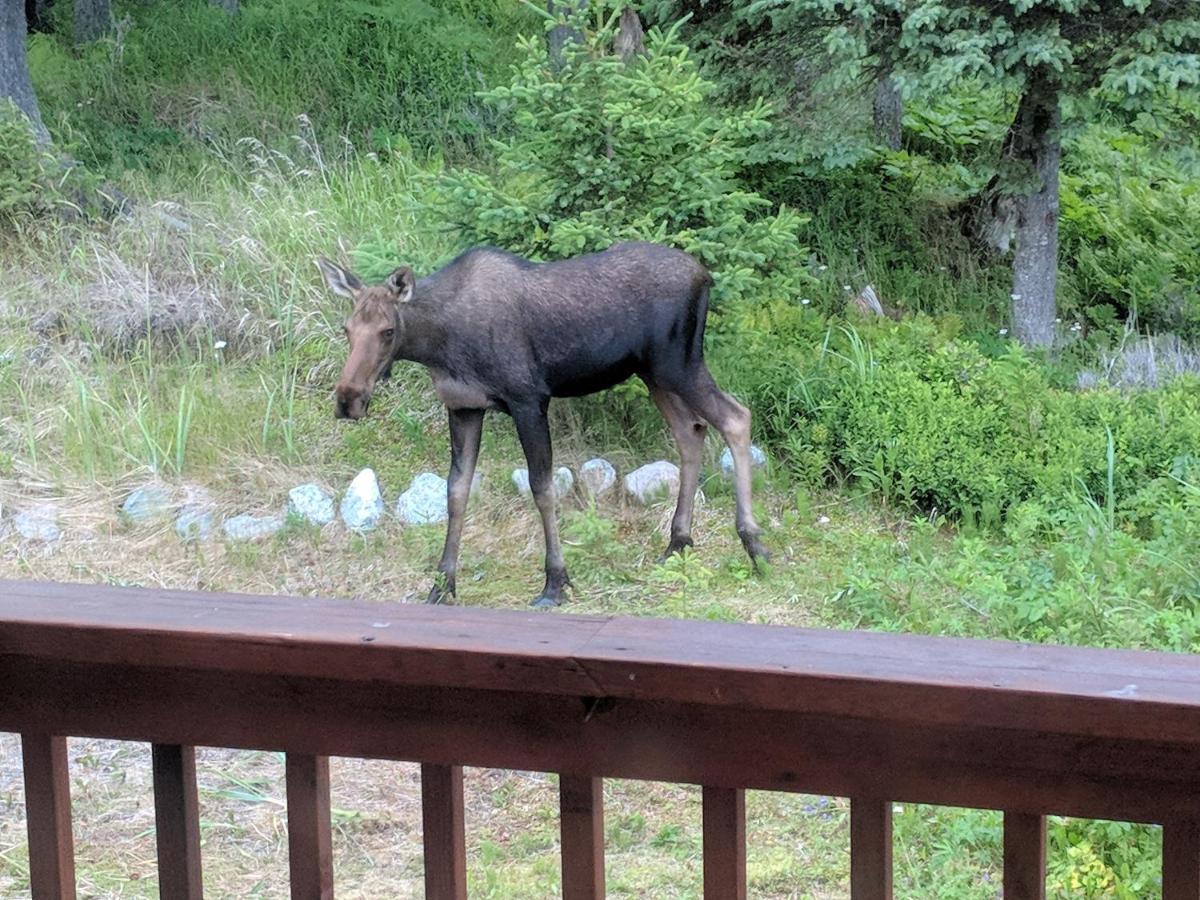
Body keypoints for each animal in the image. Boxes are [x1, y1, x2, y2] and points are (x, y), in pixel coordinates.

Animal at [316, 241, 768, 607]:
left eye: (388, 330)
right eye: (347, 329)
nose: (348, 399)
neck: (438, 347)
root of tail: (705, 274)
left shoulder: (529, 400)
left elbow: (543, 487)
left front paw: (555, 582)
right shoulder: (464, 407)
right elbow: (455, 492)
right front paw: (442, 585)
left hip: (679, 363)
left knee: (736, 417)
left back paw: (754, 544)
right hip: (652, 372)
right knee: (691, 431)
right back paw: (678, 542)